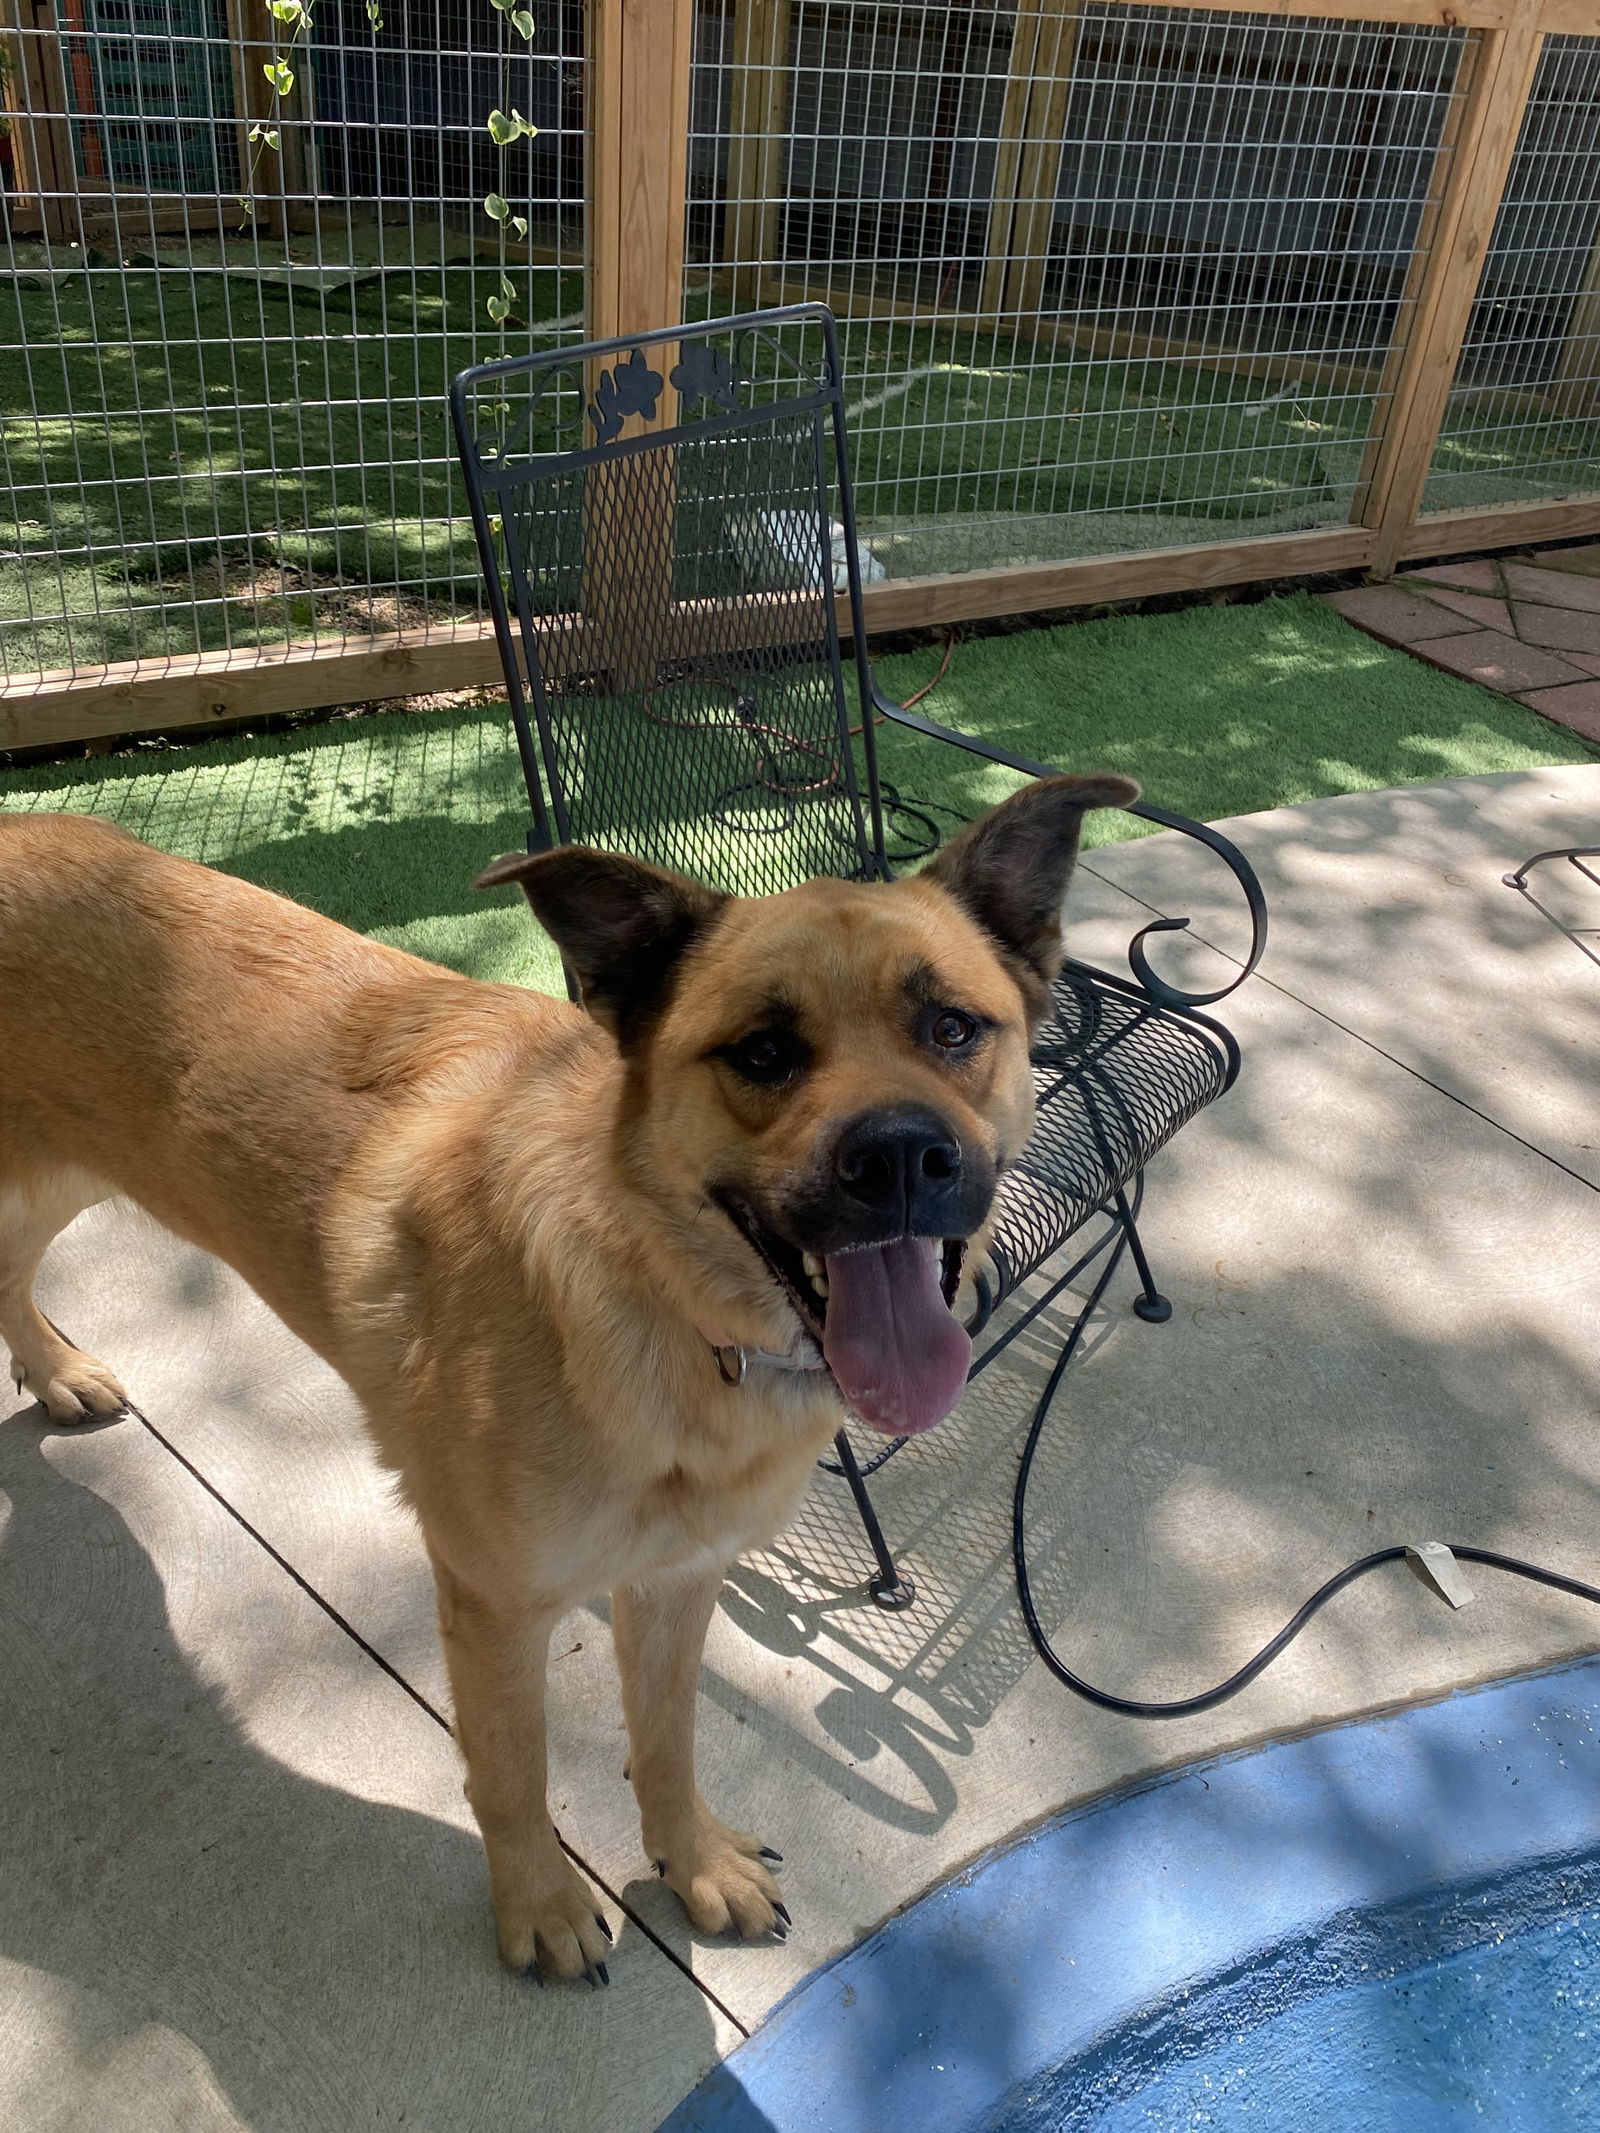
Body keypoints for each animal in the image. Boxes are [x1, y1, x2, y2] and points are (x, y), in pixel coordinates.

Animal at [0, 776, 1143, 1987]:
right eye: (763, 1052)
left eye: (952, 1028)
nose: (899, 1159)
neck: (670, 1310)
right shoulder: (495, 1606)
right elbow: (515, 1774)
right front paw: (542, 1906)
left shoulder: (677, 1579)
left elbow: (669, 1737)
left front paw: (692, 1861)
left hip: (69, 1171)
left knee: (14, 1265)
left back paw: (56, 1371)